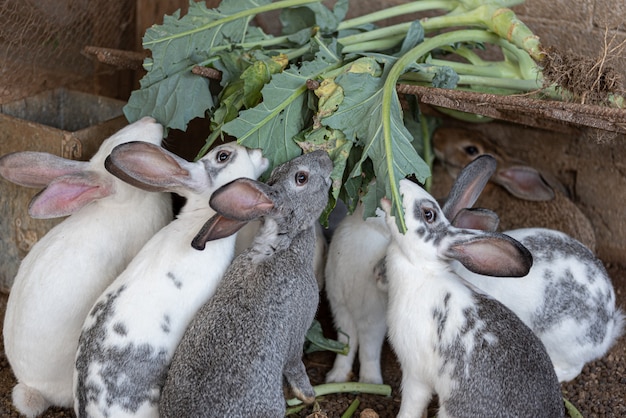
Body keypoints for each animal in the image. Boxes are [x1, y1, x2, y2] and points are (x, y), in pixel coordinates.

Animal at [157, 150, 332, 418]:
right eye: (301, 177)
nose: (325, 156)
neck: (278, 245)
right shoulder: (297, 333)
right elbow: (295, 366)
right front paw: (309, 396)